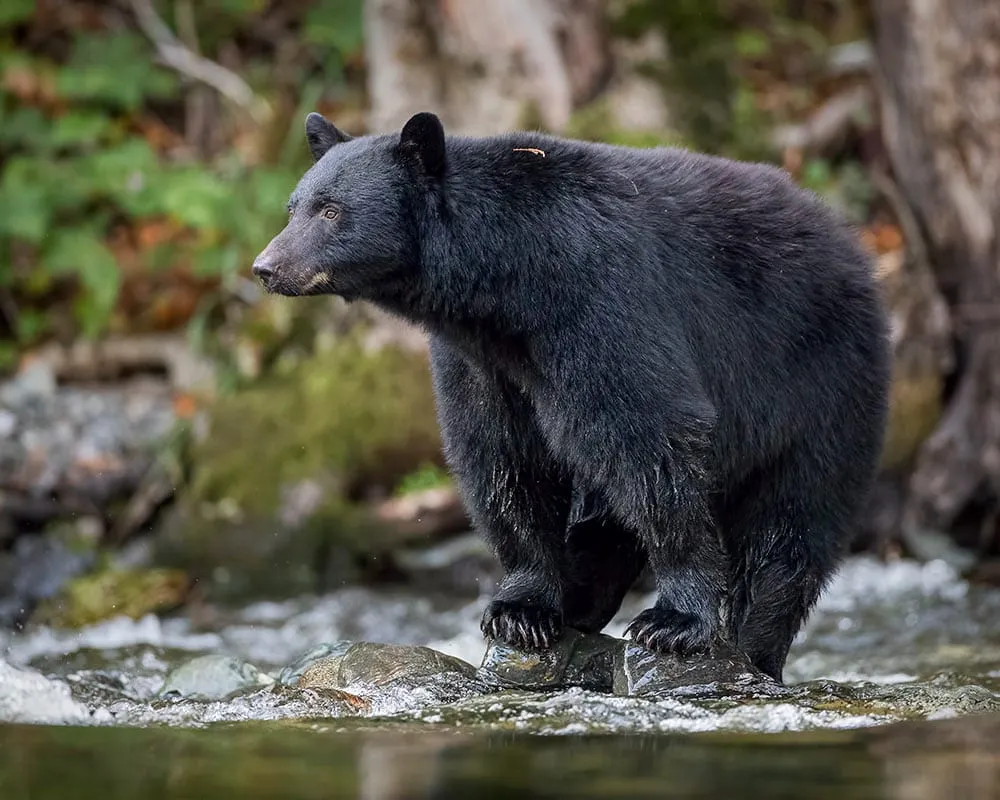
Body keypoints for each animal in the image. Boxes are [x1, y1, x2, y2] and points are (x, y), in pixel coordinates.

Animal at [252, 111, 891, 683]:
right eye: (293, 206)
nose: (266, 267)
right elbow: (501, 459)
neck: (508, 282)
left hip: (819, 384)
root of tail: (857, 246)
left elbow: (651, 432)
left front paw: (675, 620)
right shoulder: (481, 360)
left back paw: (754, 644)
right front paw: (521, 610)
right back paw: (583, 595)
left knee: (789, 530)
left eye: (331, 210)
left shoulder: (598, 299)